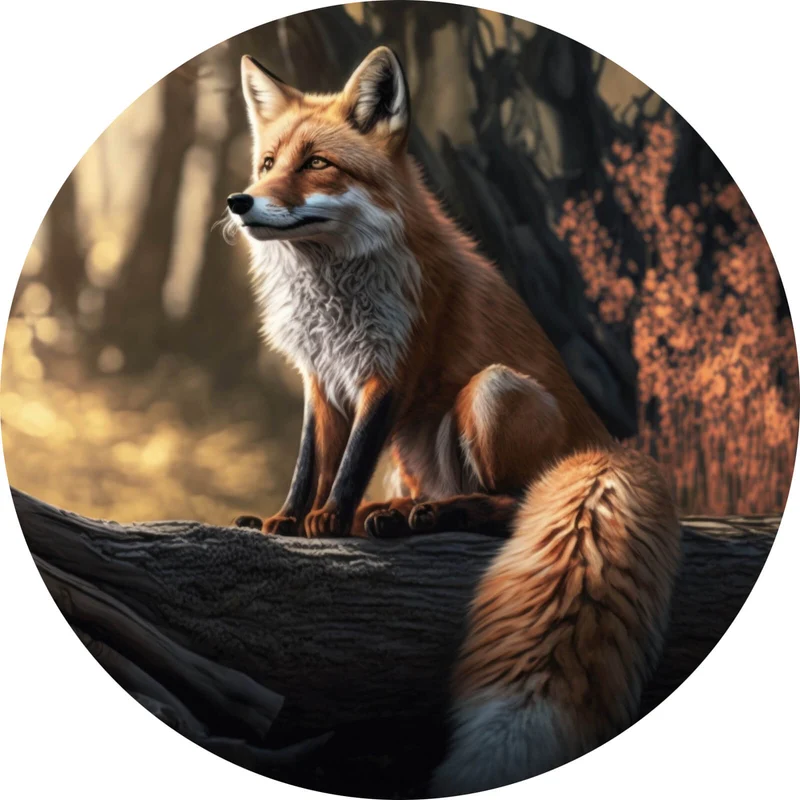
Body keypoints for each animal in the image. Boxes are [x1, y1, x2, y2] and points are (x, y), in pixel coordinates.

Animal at [226, 47, 682, 795]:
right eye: (266, 164)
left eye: (317, 163)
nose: (239, 201)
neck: (333, 286)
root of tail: (606, 443)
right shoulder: (320, 379)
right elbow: (309, 463)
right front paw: (288, 520)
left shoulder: (390, 372)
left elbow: (348, 464)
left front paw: (328, 523)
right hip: (417, 447)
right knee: (442, 494)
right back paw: (395, 514)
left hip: (488, 392)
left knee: (509, 502)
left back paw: (428, 516)